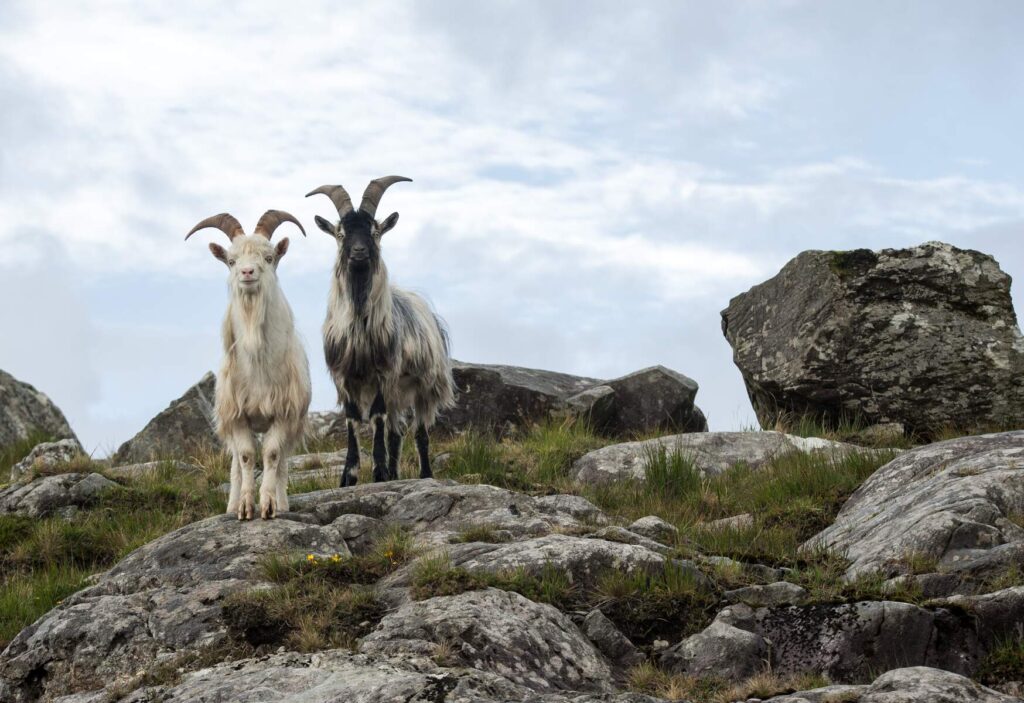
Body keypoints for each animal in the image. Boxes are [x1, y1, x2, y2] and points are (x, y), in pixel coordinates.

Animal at [186, 210, 312, 519]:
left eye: (269, 257)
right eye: (231, 261)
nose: (247, 273)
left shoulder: (283, 412)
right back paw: (231, 505)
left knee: (282, 461)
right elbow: (245, 457)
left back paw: (282, 502)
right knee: (234, 464)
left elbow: (272, 455)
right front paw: (244, 507)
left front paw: (268, 505)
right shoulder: (237, 415)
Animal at [307, 176, 454, 486]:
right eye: (340, 233)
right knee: (396, 433)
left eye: (375, 232)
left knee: (419, 432)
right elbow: (353, 420)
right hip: (399, 393)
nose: (359, 252)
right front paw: (349, 476)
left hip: (424, 386)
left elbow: (376, 417)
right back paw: (395, 475)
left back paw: (424, 474)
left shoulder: (384, 373)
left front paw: (378, 472)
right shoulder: (343, 377)